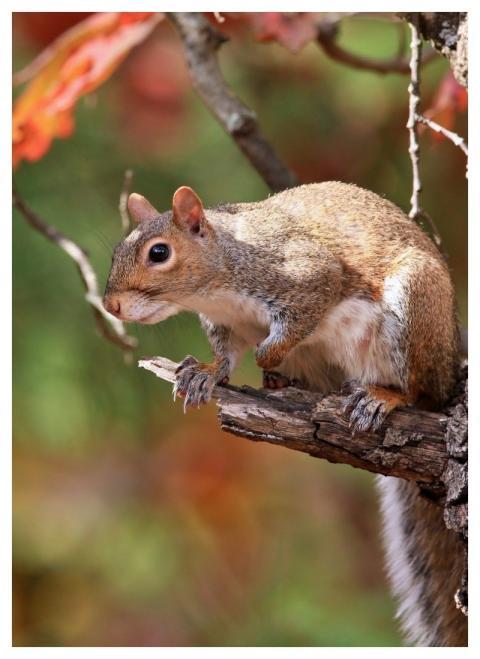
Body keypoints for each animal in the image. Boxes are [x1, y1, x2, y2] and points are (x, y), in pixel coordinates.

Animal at [104, 182, 466, 647]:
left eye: (159, 253)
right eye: (118, 248)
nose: (110, 305)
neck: (222, 275)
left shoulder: (306, 277)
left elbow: (292, 324)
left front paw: (265, 356)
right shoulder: (224, 323)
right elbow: (225, 356)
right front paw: (206, 372)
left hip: (414, 311)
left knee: (416, 388)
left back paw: (381, 396)